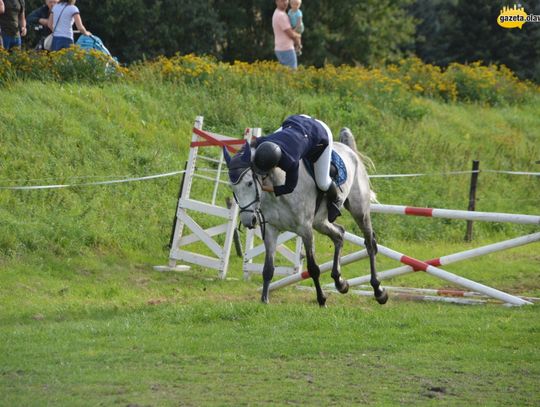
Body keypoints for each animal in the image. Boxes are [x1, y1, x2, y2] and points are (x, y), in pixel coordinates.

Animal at [225, 128, 388, 306]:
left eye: (249, 183)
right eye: (232, 187)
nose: (249, 221)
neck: (277, 191)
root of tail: (349, 150)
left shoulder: (305, 230)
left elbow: (313, 268)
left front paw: (322, 299)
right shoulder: (271, 230)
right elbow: (268, 268)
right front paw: (264, 300)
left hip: (359, 210)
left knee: (370, 244)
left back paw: (378, 291)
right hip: (320, 222)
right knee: (339, 234)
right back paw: (340, 282)